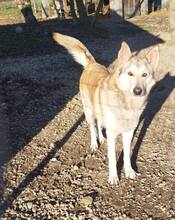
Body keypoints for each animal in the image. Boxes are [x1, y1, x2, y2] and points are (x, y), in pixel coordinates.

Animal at [52, 32, 159, 184]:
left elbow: (126, 154)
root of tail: (92, 63)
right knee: (93, 127)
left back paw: (102, 138)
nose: (137, 91)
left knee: (99, 124)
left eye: (145, 75)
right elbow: (113, 157)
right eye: (130, 74)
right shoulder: (113, 133)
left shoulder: (129, 132)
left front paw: (129, 171)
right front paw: (113, 176)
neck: (126, 103)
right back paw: (94, 143)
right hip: (89, 112)